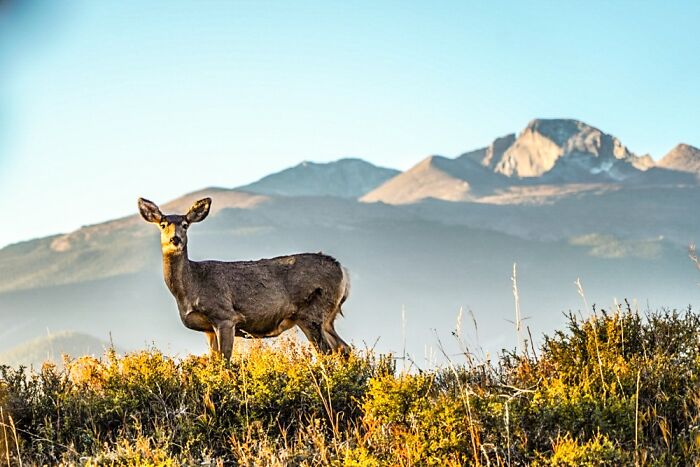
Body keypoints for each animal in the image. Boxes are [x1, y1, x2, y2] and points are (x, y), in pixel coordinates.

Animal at [137, 197, 350, 360]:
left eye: (185, 225)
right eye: (163, 224)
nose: (175, 239)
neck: (190, 288)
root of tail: (343, 270)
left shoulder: (225, 316)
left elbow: (224, 362)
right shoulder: (208, 329)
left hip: (312, 311)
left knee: (327, 352)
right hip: (327, 317)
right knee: (344, 348)